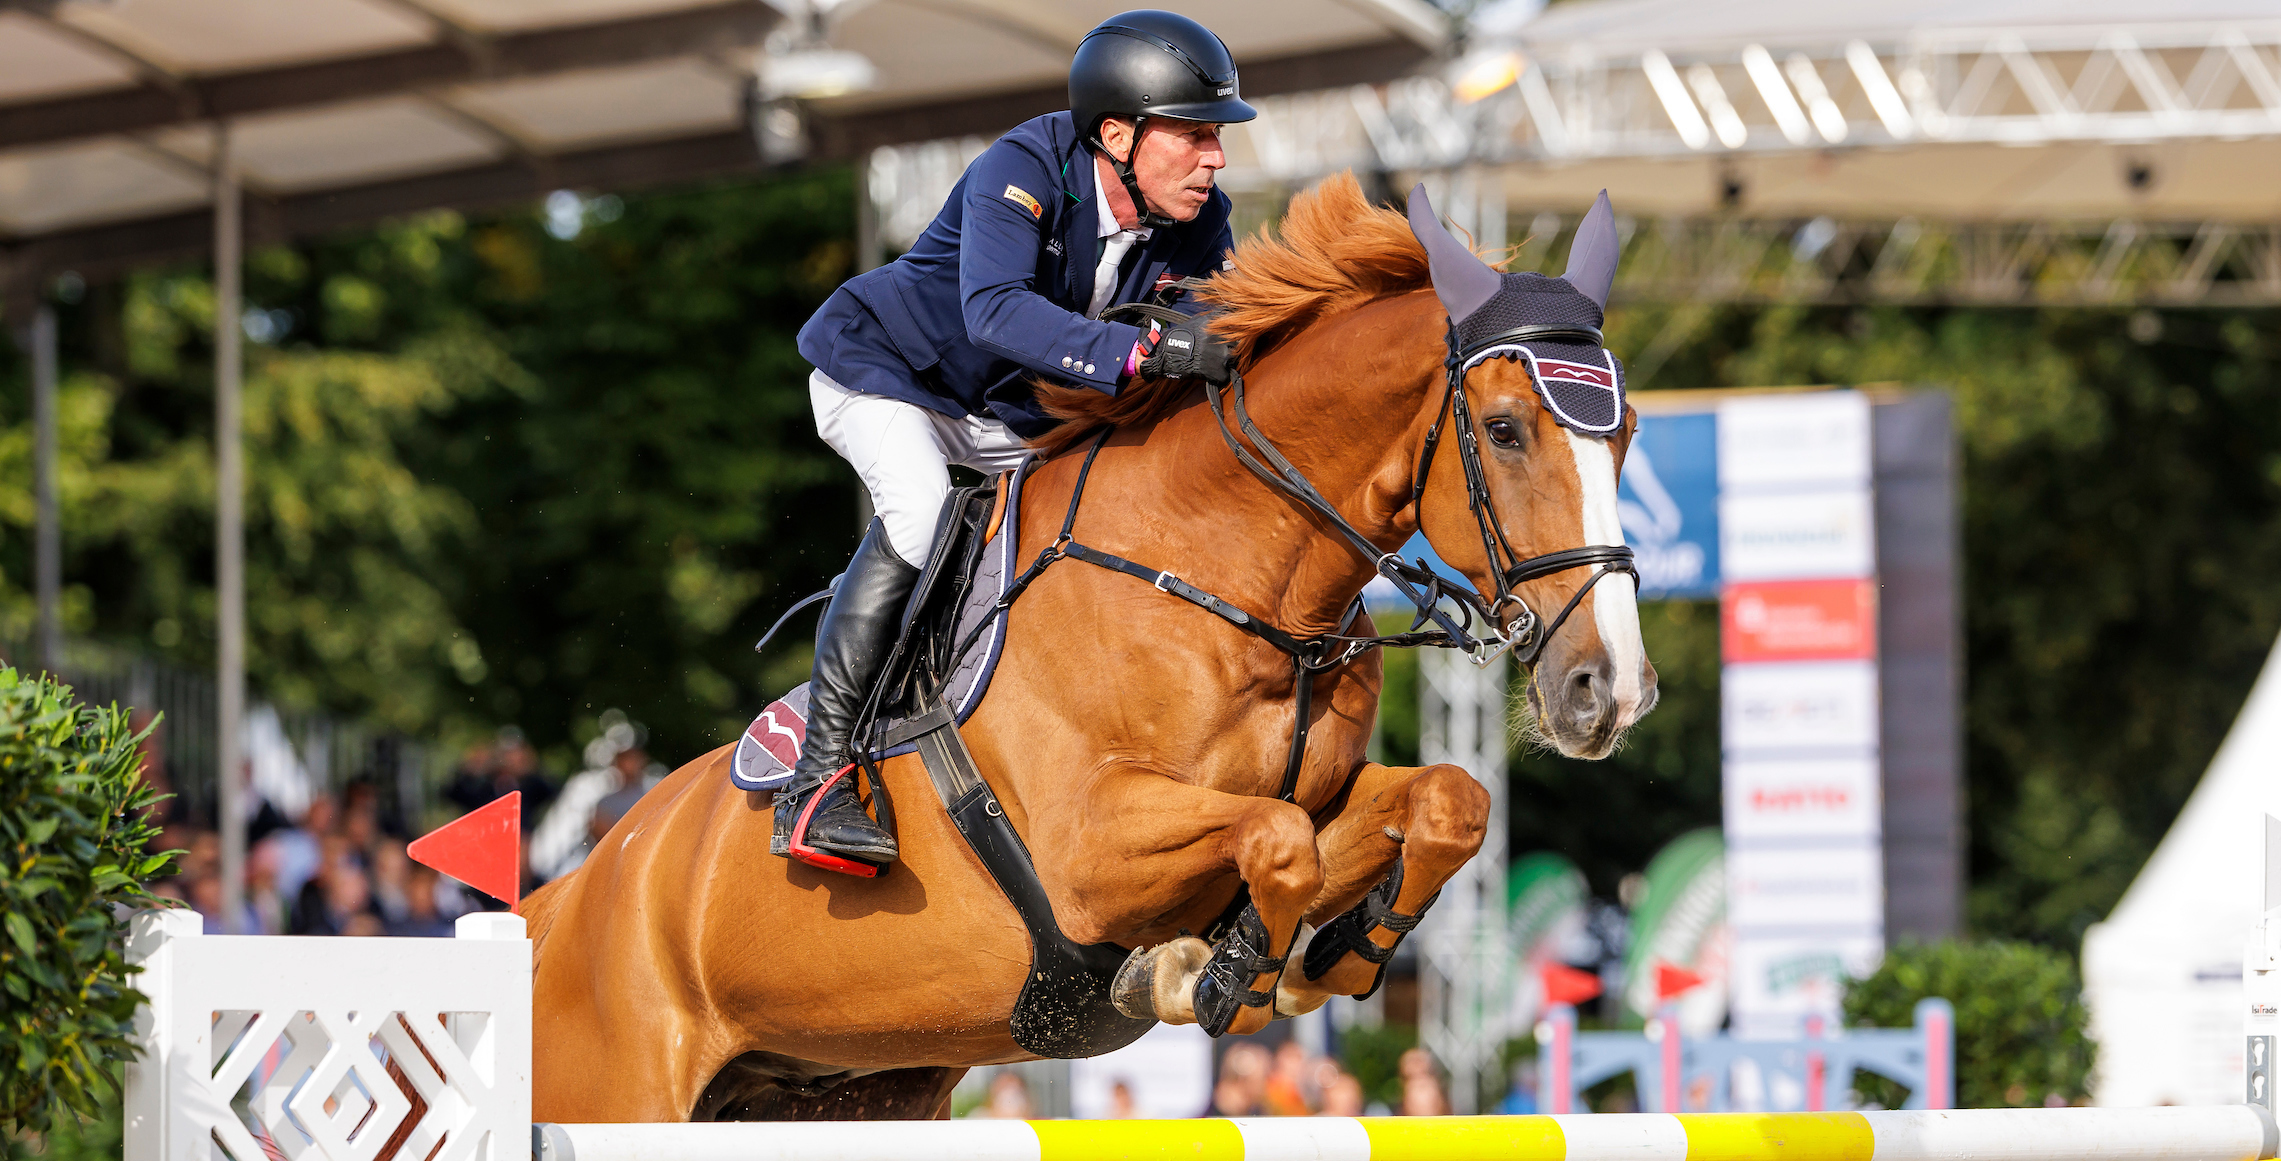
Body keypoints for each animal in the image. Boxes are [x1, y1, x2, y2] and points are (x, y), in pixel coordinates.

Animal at [522, 174, 1651, 1122]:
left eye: (1629, 428)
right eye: (1503, 430)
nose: (1609, 690)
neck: (1230, 576)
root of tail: (570, 892)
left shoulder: (1330, 791)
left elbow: (1438, 802)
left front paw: (1334, 958)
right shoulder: (1088, 856)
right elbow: (1278, 836)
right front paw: (1211, 974)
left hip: (850, 1091)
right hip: (622, 1091)